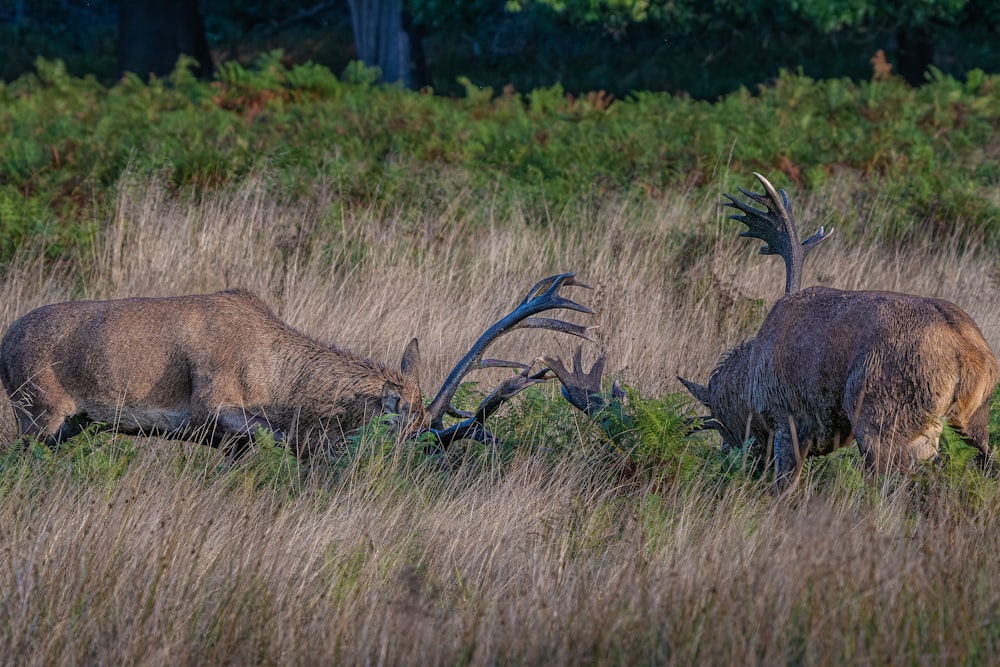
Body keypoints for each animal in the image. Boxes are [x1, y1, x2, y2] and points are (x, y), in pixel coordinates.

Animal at [0, 274, 592, 456]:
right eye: (397, 435)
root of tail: (2, 346)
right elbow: (280, 438)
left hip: (69, 423)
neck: (276, 383)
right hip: (36, 412)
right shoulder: (211, 404)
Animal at [676, 175, 996, 494]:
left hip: (884, 417)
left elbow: (784, 487)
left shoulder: (788, 419)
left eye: (719, 419)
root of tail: (967, 353)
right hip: (972, 420)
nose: (726, 461)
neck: (751, 379)